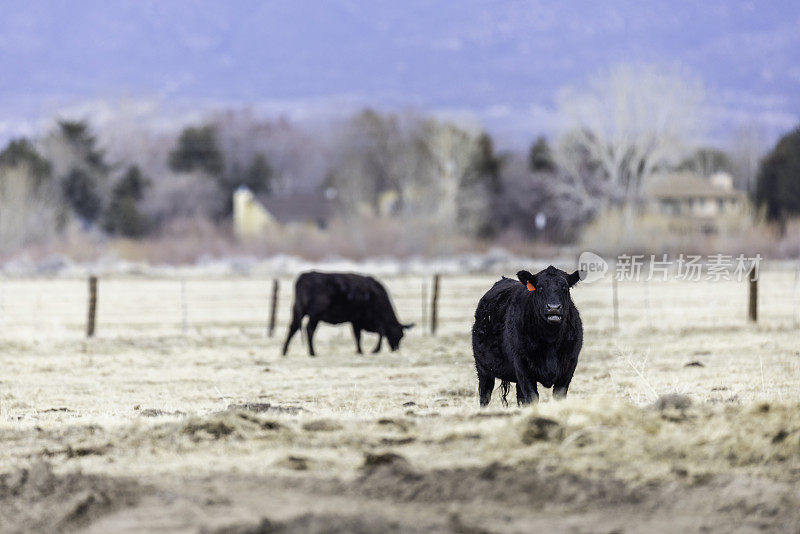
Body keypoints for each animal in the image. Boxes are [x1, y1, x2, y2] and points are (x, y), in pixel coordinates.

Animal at [282, 274, 412, 358]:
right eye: (399, 335)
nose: (396, 349)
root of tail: (303, 277)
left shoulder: (356, 320)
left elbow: (358, 335)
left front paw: (360, 351)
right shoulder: (363, 318)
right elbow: (378, 332)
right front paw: (373, 350)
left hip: (298, 311)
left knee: (292, 328)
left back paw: (284, 351)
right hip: (315, 314)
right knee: (309, 329)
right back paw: (312, 352)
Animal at [472, 266, 584, 408]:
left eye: (565, 286)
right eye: (539, 287)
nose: (553, 308)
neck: (551, 341)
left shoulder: (569, 366)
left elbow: (558, 396)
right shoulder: (522, 366)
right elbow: (532, 397)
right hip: (483, 369)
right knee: (485, 394)